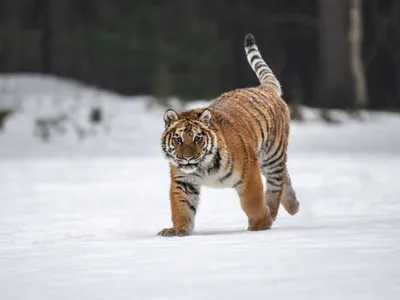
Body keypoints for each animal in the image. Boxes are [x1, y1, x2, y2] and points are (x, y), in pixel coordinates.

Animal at [158, 32, 298, 237]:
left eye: (197, 138)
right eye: (178, 139)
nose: (188, 158)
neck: (202, 167)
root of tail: (262, 88)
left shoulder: (248, 172)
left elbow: (252, 202)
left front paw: (259, 225)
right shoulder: (183, 182)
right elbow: (181, 208)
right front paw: (178, 230)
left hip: (272, 156)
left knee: (275, 185)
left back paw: (272, 214)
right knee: (284, 177)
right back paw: (293, 206)